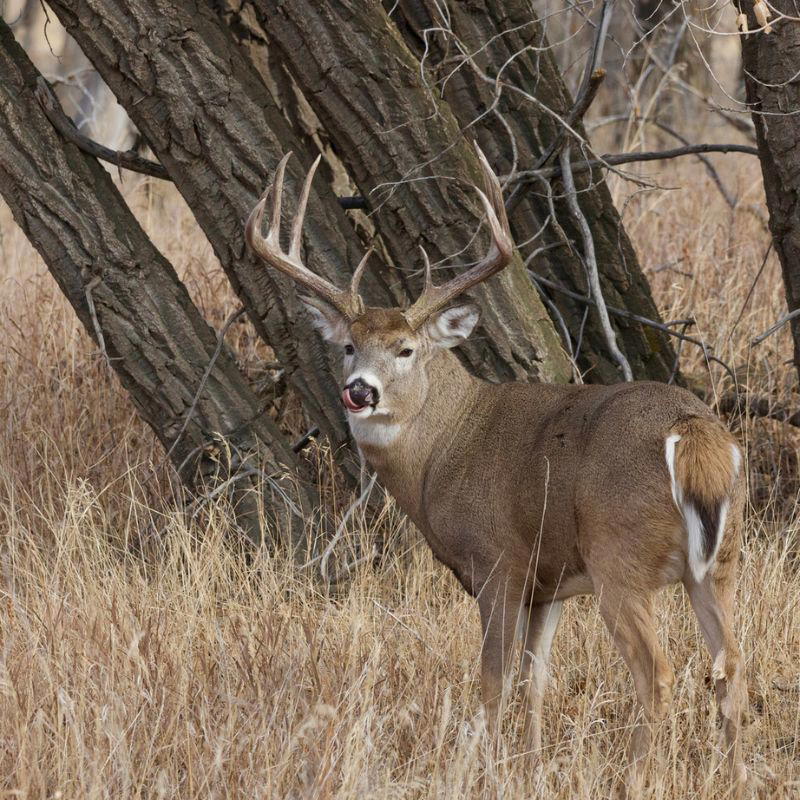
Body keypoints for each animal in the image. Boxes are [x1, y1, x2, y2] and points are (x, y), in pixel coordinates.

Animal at [245, 146, 747, 796]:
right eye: (349, 346)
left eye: (406, 349)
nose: (359, 391)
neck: (445, 449)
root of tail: (695, 435)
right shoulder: (547, 584)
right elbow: (535, 681)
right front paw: (529, 766)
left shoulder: (495, 561)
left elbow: (492, 680)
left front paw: (486, 769)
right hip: (719, 561)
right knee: (732, 664)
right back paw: (737, 777)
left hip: (619, 555)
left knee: (656, 672)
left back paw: (636, 779)